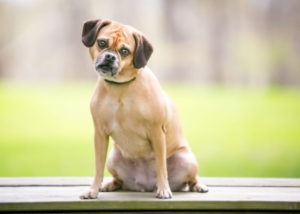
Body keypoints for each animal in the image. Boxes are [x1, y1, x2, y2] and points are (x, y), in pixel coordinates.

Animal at [79, 18, 209, 199]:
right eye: (102, 43)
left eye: (125, 51)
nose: (110, 57)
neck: (120, 87)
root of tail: (145, 185)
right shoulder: (100, 134)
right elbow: (98, 167)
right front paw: (93, 190)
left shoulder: (157, 132)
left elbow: (161, 167)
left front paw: (164, 189)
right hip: (113, 157)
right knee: (119, 180)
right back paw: (110, 184)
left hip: (187, 159)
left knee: (191, 180)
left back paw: (197, 186)